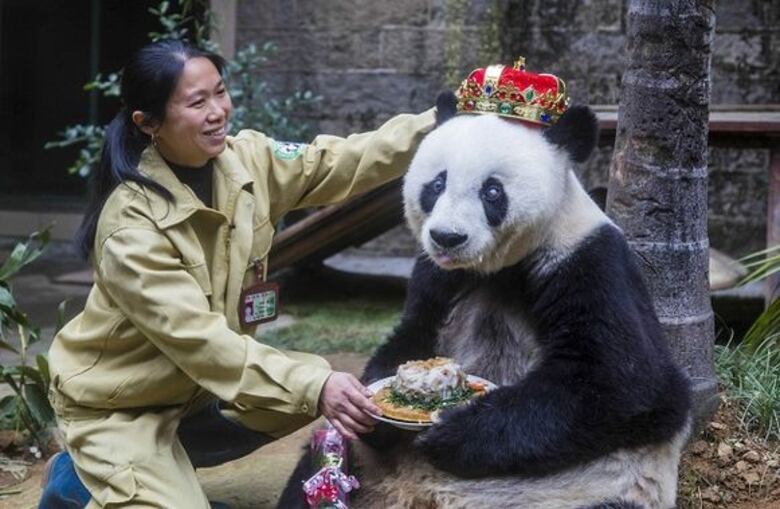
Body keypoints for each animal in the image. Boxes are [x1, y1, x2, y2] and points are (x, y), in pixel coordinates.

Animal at [278, 92, 692, 509]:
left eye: (492, 191)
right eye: (437, 184)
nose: (447, 237)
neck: (495, 266)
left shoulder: (587, 261)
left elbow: (625, 381)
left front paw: (453, 431)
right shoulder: (438, 274)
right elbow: (413, 332)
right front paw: (372, 415)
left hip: (596, 489)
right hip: (369, 468)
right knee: (313, 470)